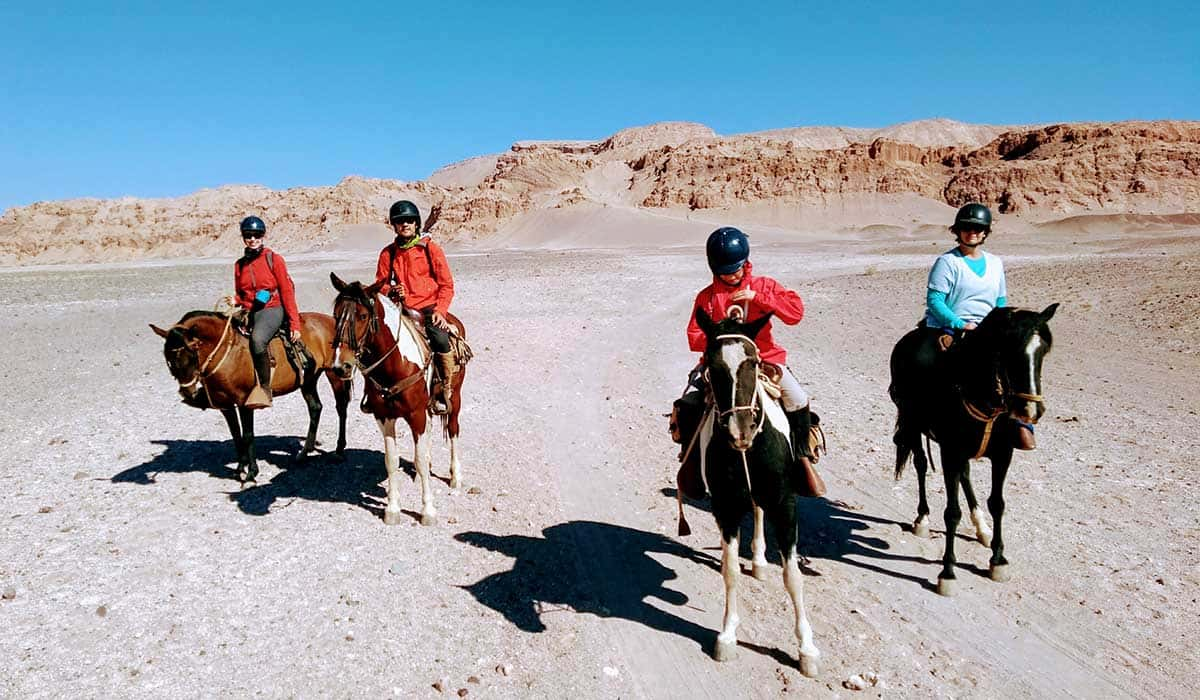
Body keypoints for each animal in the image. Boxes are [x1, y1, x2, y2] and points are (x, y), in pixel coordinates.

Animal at [147, 309, 350, 485]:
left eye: (192, 352)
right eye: (168, 359)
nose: (188, 392)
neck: (230, 354)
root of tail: (333, 321)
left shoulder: (245, 402)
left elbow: (248, 435)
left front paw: (252, 472)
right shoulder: (225, 405)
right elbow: (236, 435)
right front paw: (240, 468)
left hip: (335, 374)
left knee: (341, 408)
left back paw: (339, 450)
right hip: (308, 380)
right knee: (315, 408)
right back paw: (304, 452)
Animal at [331, 273, 465, 525]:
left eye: (362, 316)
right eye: (335, 315)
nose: (340, 366)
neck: (395, 365)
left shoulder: (416, 414)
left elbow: (419, 460)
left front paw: (428, 511)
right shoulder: (385, 417)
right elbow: (391, 461)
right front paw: (392, 509)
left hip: (454, 398)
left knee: (453, 431)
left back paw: (456, 477)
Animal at [691, 307, 820, 677]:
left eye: (753, 361)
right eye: (712, 364)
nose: (741, 430)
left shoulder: (785, 504)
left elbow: (793, 575)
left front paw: (807, 649)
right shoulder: (725, 506)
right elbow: (730, 570)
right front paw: (727, 635)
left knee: (761, 512)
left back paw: (761, 561)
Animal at [888, 303, 1056, 595]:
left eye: (1043, 350)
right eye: (1011, 350)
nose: (1031, 410)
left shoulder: (1002, 455)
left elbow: (997, 504)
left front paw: (998, 560)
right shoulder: (949, 452)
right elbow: (951, 512)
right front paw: (947, 572)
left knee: (964, 475)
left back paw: (982, 527)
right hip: (913, 424)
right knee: (921, 464)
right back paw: (922, 519)